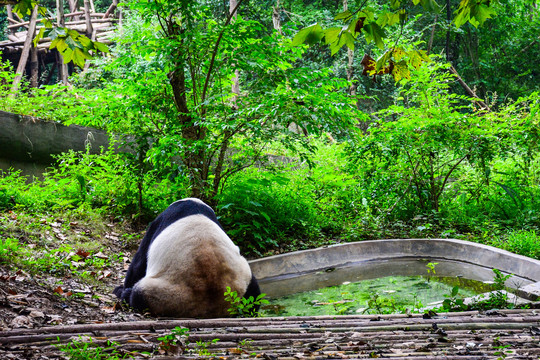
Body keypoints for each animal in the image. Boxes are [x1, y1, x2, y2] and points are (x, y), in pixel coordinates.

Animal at [113, 197, 260, 318]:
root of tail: (209, 307)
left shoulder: (160, 221)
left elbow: (139, 262)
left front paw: (122, 288)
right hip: (242, 280)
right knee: (254, 293)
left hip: (167, 294)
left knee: (139, 295)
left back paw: (125, 294)